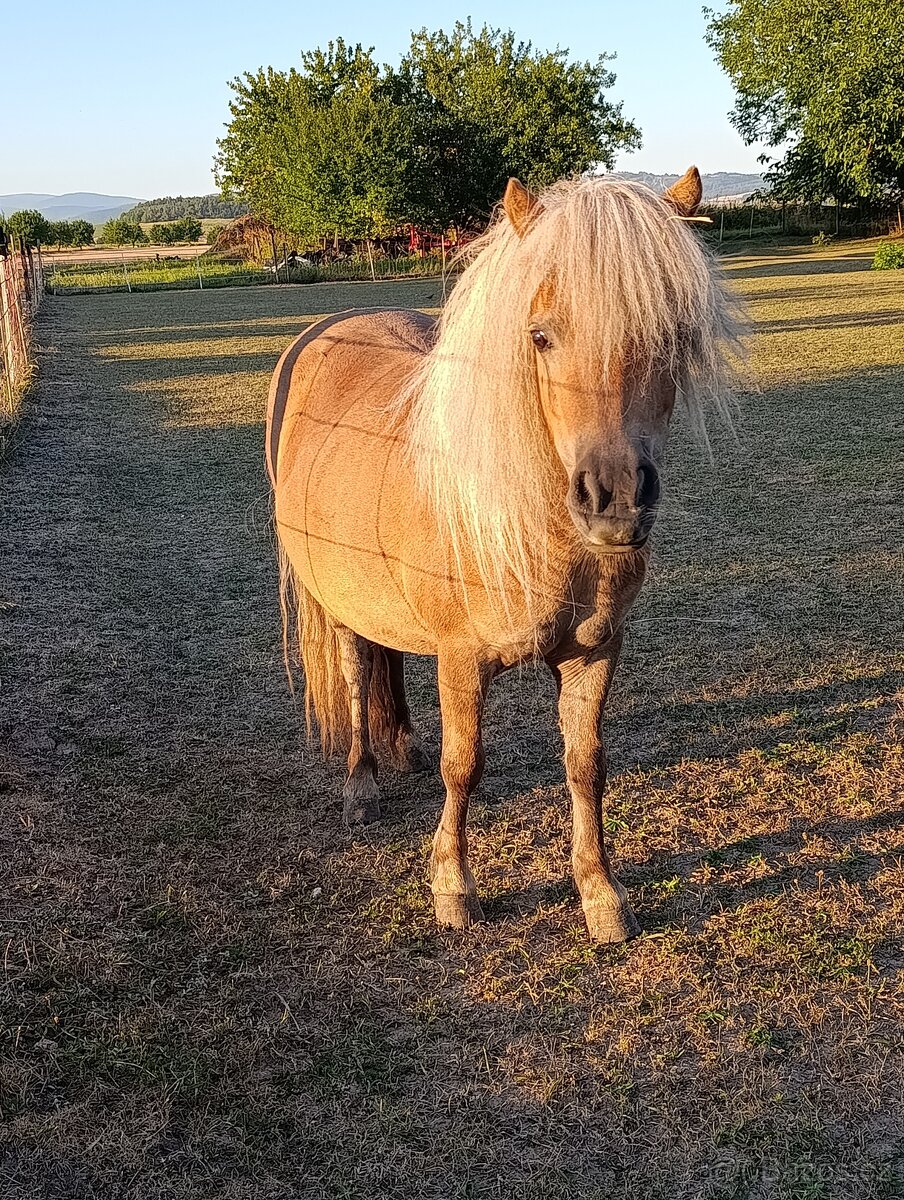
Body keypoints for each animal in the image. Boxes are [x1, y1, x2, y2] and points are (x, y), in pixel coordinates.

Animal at [266, 167, 738, 943]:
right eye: (540, 336)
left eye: (674, 336)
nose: (613, 499)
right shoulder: (462, 659)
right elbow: (465, 764)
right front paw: (453, 888)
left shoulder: (595, 651)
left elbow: (586, 764)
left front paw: (600, 892)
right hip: (334, 600)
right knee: (357, 670)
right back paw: (361, 782)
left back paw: (402, 747)